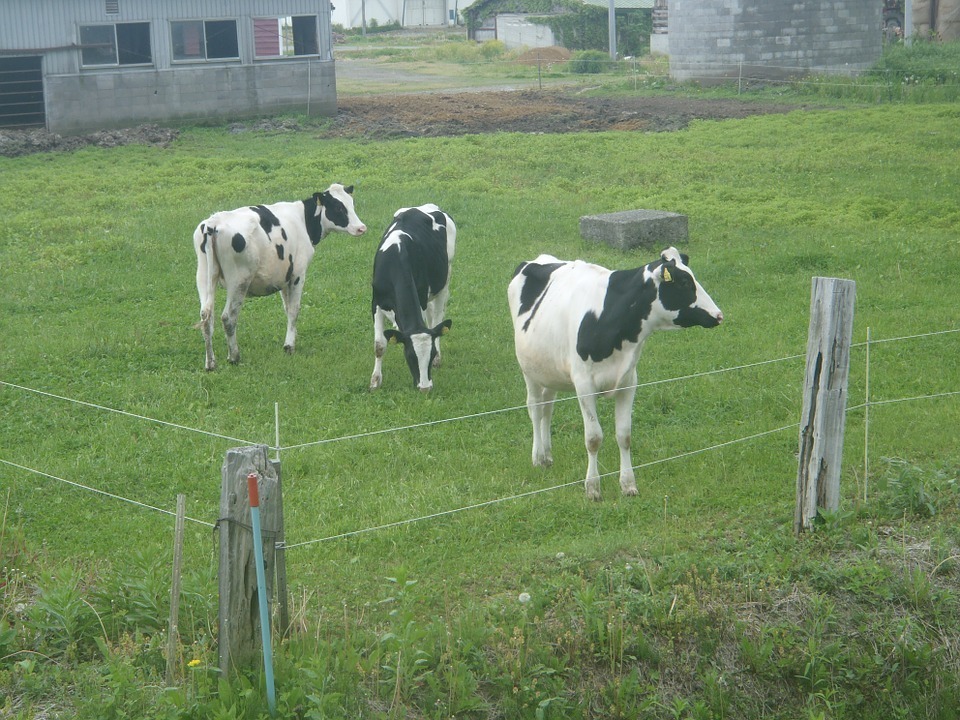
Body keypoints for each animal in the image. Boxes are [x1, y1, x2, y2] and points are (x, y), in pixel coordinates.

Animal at [193, 183, 366, 372]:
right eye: (338, 207)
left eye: (352, 204)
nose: (361, 228)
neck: (302, 220)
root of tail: (213, 224)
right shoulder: (298, 274)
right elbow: (294, 309)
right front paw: (289, 346)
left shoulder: (285, 278)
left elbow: (287, 308)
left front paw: (293, 336)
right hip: (239, 281)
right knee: (228, 317)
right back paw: (234, 357)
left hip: (204, 277)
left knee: (206, 316)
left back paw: (210, 363)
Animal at [370, 202, 456, 394]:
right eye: (410, 355)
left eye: (431, 354)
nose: (425, 388)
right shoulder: (376, 303)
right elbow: (379, 346)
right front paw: (375, 381)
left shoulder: (421, 297)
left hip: (444, 279)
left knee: (437, 317)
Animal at [510, 250, 720, 504]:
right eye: (683, 282)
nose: (718, 315)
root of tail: (537, 259)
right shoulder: (584, 385)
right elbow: (593, 438)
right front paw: (592, 488)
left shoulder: (629, 382)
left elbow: (624, 435)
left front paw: (628, 485)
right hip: (528, 369)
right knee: (535, 408)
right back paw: (538, 457)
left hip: (549, 370)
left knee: (547, 408)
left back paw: (548, 456)